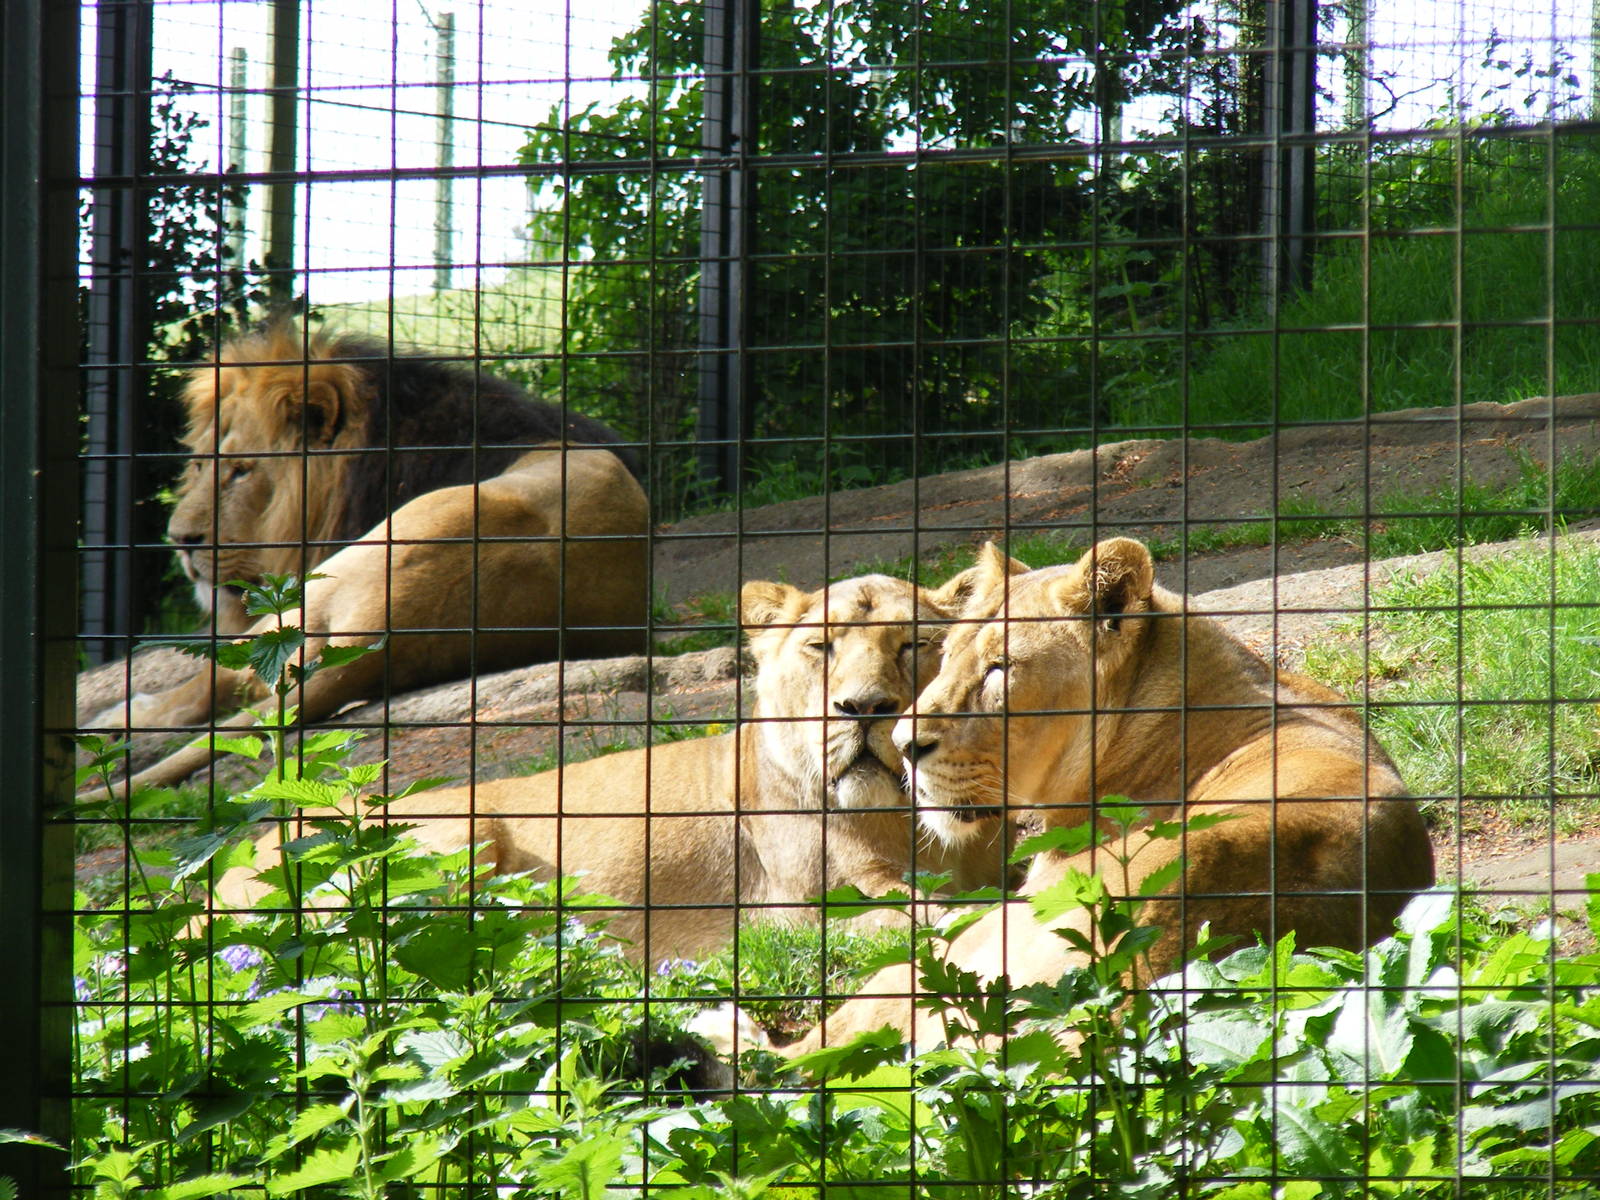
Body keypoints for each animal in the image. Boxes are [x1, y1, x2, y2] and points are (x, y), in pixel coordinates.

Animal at [89, 321, 649, 792]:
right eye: (202, 465)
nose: (179, 539)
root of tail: (378, 632)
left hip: (309, 591)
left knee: (215, 679)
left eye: (243, 471)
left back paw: (109, 720)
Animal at [212, 568, 1028, 966]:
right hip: (457, 834)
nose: (862, 708)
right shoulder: (800, 909)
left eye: (913, 645)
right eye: (820, 648)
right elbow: (927, 915)